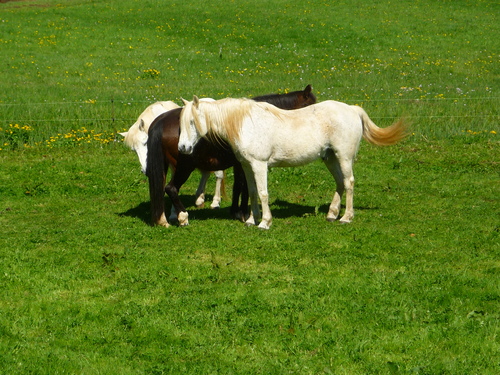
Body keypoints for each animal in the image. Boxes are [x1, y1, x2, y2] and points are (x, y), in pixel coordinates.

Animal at [146, 84, 316, 226]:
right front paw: (244, 214)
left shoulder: (241, 164)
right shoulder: (245, 163)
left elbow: (239, 187)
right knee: (171, 188)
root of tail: (160, 121)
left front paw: (237, 211)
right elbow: (245, 187)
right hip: (184, 167)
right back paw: (182, 217)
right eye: (311, 105)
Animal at [179, 96, 406, 229]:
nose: (182, 148)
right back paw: (332, 214)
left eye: (192, 122)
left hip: (344, 157)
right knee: (340, 183)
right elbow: (252, 192)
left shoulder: (260, 165)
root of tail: (352, 109)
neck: (246, 123)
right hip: (330, 158)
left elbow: (263, 193)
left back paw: (346, 217)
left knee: (349, 182)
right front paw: (252, 220)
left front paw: (265, 222)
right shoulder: (247, 165)